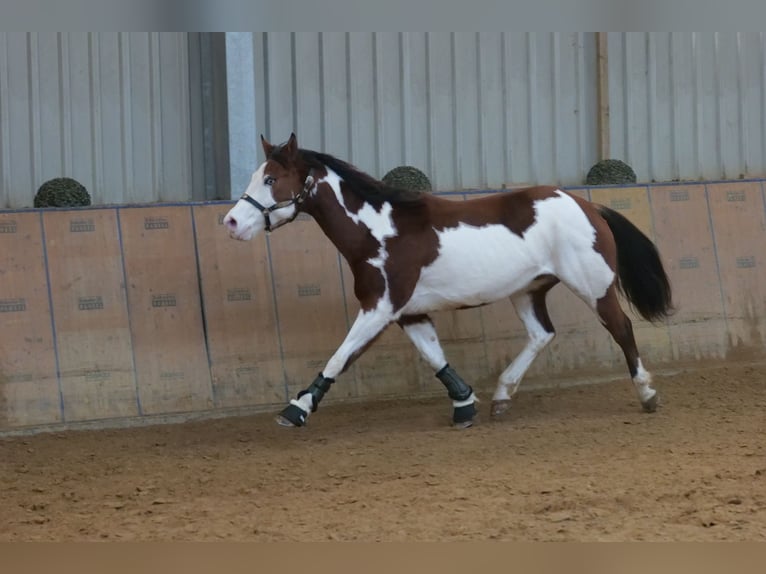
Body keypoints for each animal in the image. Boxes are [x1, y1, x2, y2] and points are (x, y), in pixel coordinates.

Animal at [223, 133, 673, 429]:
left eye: (271, 179)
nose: (230, 222)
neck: (380, 231)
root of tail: (587, 205)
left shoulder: (380, 307)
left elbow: (341, 356)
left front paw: (296, 409)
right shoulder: (409, 314)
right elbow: (435, 357)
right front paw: (465, 405)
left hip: (593, 286)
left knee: (621, 328)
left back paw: (647, 394)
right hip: (527, 290)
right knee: (542, 334)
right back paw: (502, 397)